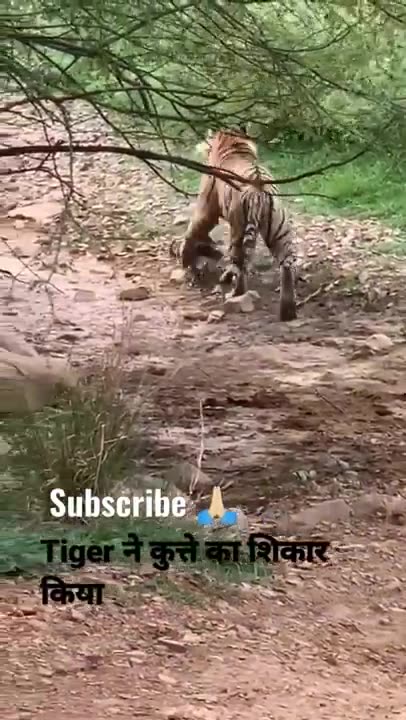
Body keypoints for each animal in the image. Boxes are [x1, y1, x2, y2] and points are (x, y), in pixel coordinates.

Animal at [172, 126, 298, 322]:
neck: (234, 145)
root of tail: (259, 187)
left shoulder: (206, 207)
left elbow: (194, 229)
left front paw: (185, 257)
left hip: (238, 228)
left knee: (240, 263)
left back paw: (236, 294)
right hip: (279, 230)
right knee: (286, 264)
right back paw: (288, 311)